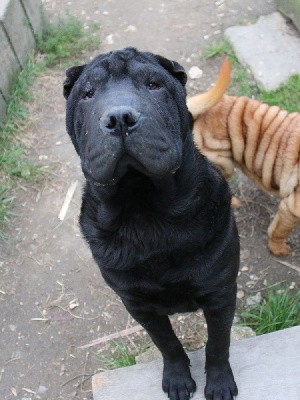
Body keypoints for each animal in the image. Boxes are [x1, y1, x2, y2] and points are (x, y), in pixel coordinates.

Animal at [63, 47, 239, 400]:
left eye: (154, 84)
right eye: (88, 93)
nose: (120, 118)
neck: (144, 213)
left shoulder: (221, 293)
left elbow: (218, 343)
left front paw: (219, 383)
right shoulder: (138, 305)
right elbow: (167, 343)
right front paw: (177, 379)